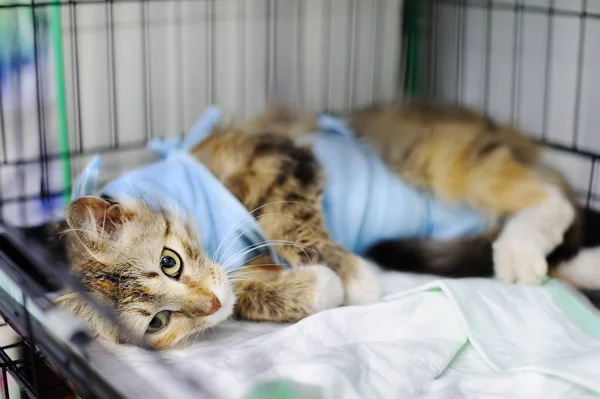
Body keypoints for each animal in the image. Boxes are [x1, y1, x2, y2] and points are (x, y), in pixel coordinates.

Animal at [41, 102, 592, 350]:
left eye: (169, 261)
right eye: (158, 321)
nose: (209, 306)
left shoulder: (274, 158)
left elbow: (288, 219)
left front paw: (357, 279)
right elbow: (247, 295)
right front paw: (319, 288)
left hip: (436, 157)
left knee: (551, 200)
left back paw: (520, 254)